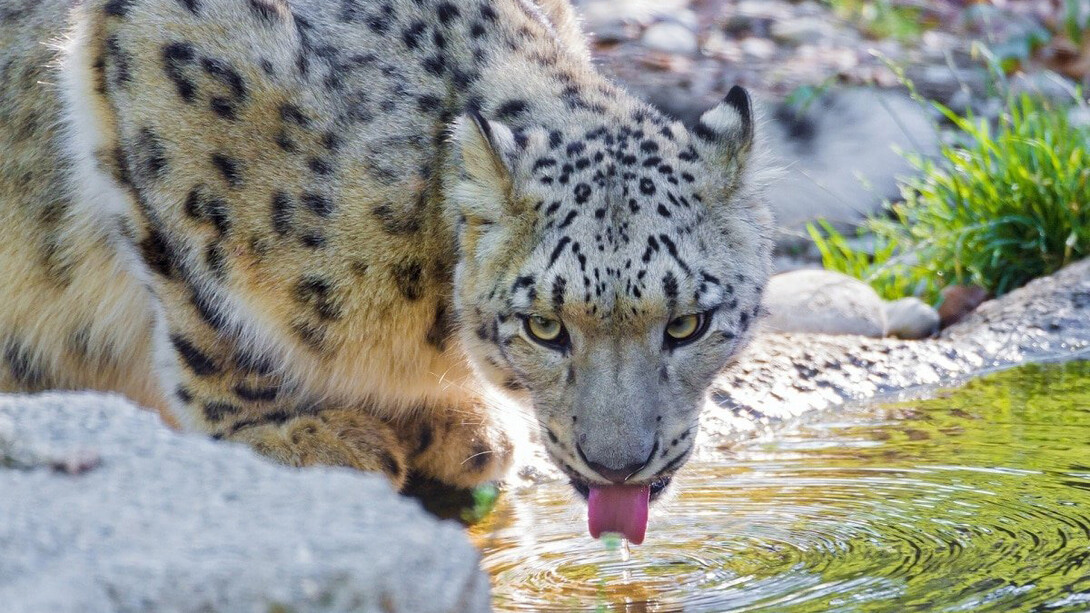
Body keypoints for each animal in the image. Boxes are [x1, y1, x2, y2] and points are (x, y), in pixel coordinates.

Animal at [0, 0, 772, 501]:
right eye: (545, 328)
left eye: (689, 324)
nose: (618, 465)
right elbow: (204, 302)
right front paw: (287, 434)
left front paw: (456, 423)